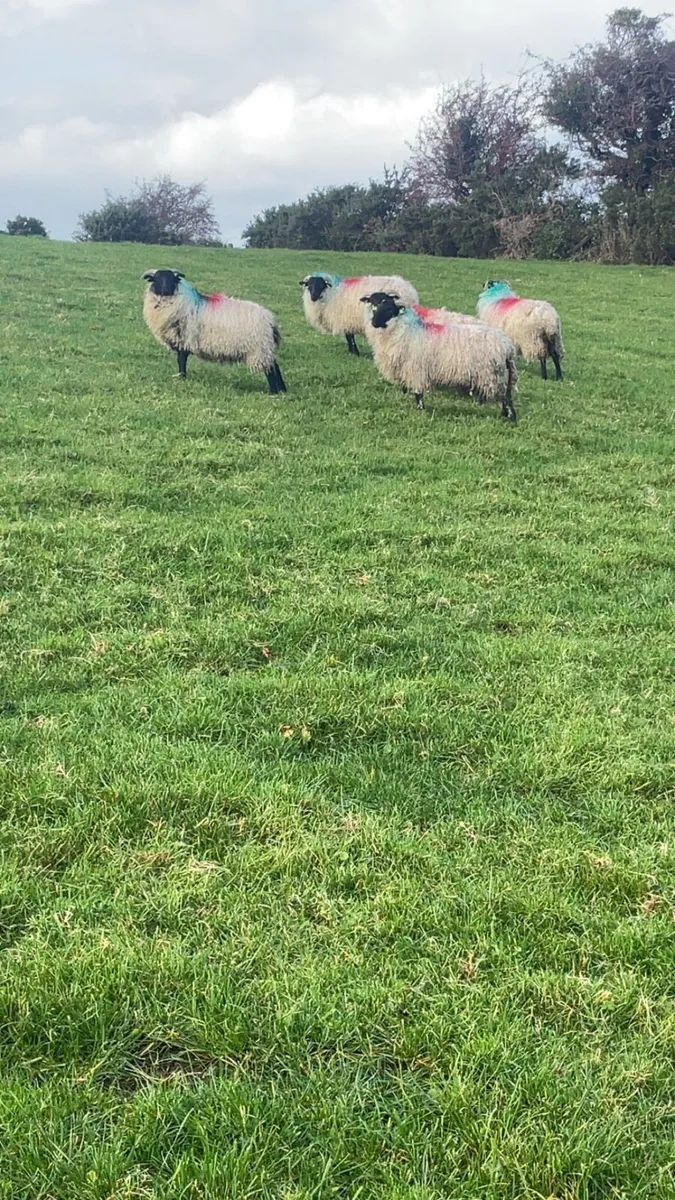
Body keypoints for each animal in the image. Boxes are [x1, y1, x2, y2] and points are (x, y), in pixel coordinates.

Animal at [142, 268, 287, 394]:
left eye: (172, 279)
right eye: (157, 279)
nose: (165, 289)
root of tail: (270, 320)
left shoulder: (184, 339)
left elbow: (181, 361)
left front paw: (182, 377)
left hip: (259, 349)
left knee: (271, 369)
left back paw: (273, 392)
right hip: (264, 349)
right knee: (274, 366)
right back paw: (282, 390)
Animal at [360, 292, 518, 423]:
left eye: (388, 308)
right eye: (372, 305)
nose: (374, 323)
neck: (405, 331)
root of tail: (507, 346)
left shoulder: (416, 368)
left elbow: (418, 392)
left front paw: (420, 408)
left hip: (493, 374)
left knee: (505, 397)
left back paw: (510, 417)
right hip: (499, 374)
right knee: (507, 394)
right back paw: (504, 414)